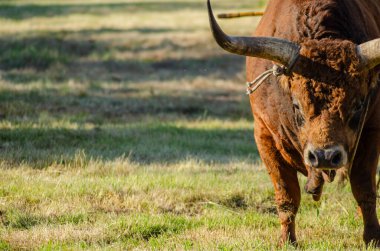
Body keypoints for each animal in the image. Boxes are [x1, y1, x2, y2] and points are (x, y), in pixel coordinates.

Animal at [206, 0, 380, 246]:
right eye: (297, 105)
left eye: (358, 105)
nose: (325, 156)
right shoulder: (264, 133)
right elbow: (286, 194)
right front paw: (287, 240)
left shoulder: (372, 129)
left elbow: (364, 188)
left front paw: (372, 238)